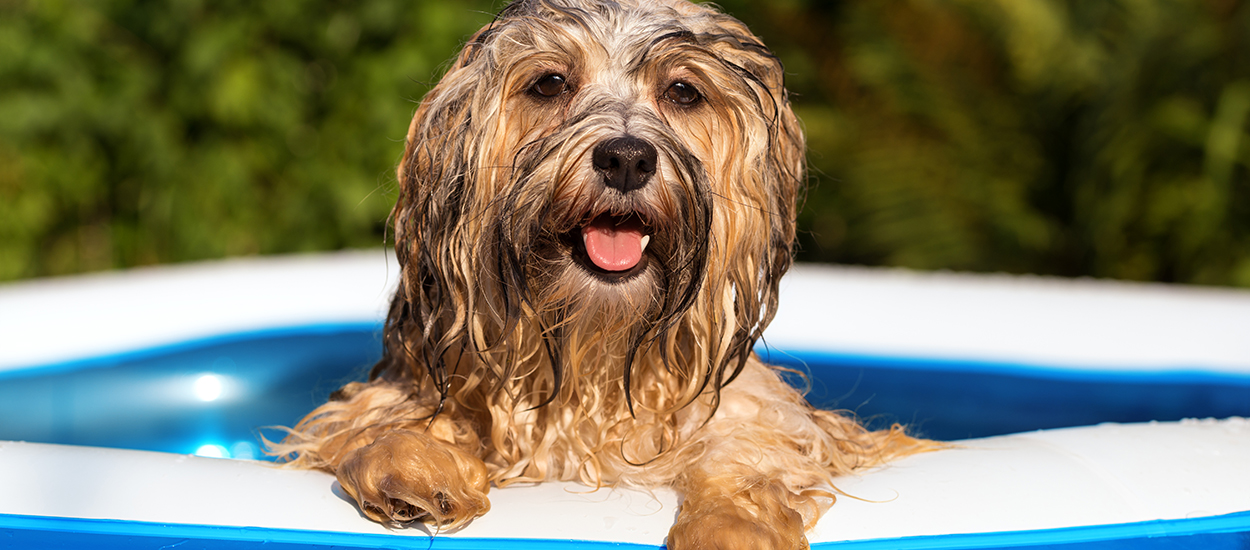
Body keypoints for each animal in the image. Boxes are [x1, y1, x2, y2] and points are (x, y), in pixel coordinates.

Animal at [276, 2, 930, 547]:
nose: (627, 158)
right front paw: (409, 462)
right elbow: (372, 419)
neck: (592, 348)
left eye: (683, 91)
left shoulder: (761, 417)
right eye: (549, 83)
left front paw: (732, 528)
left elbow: (750, 450)